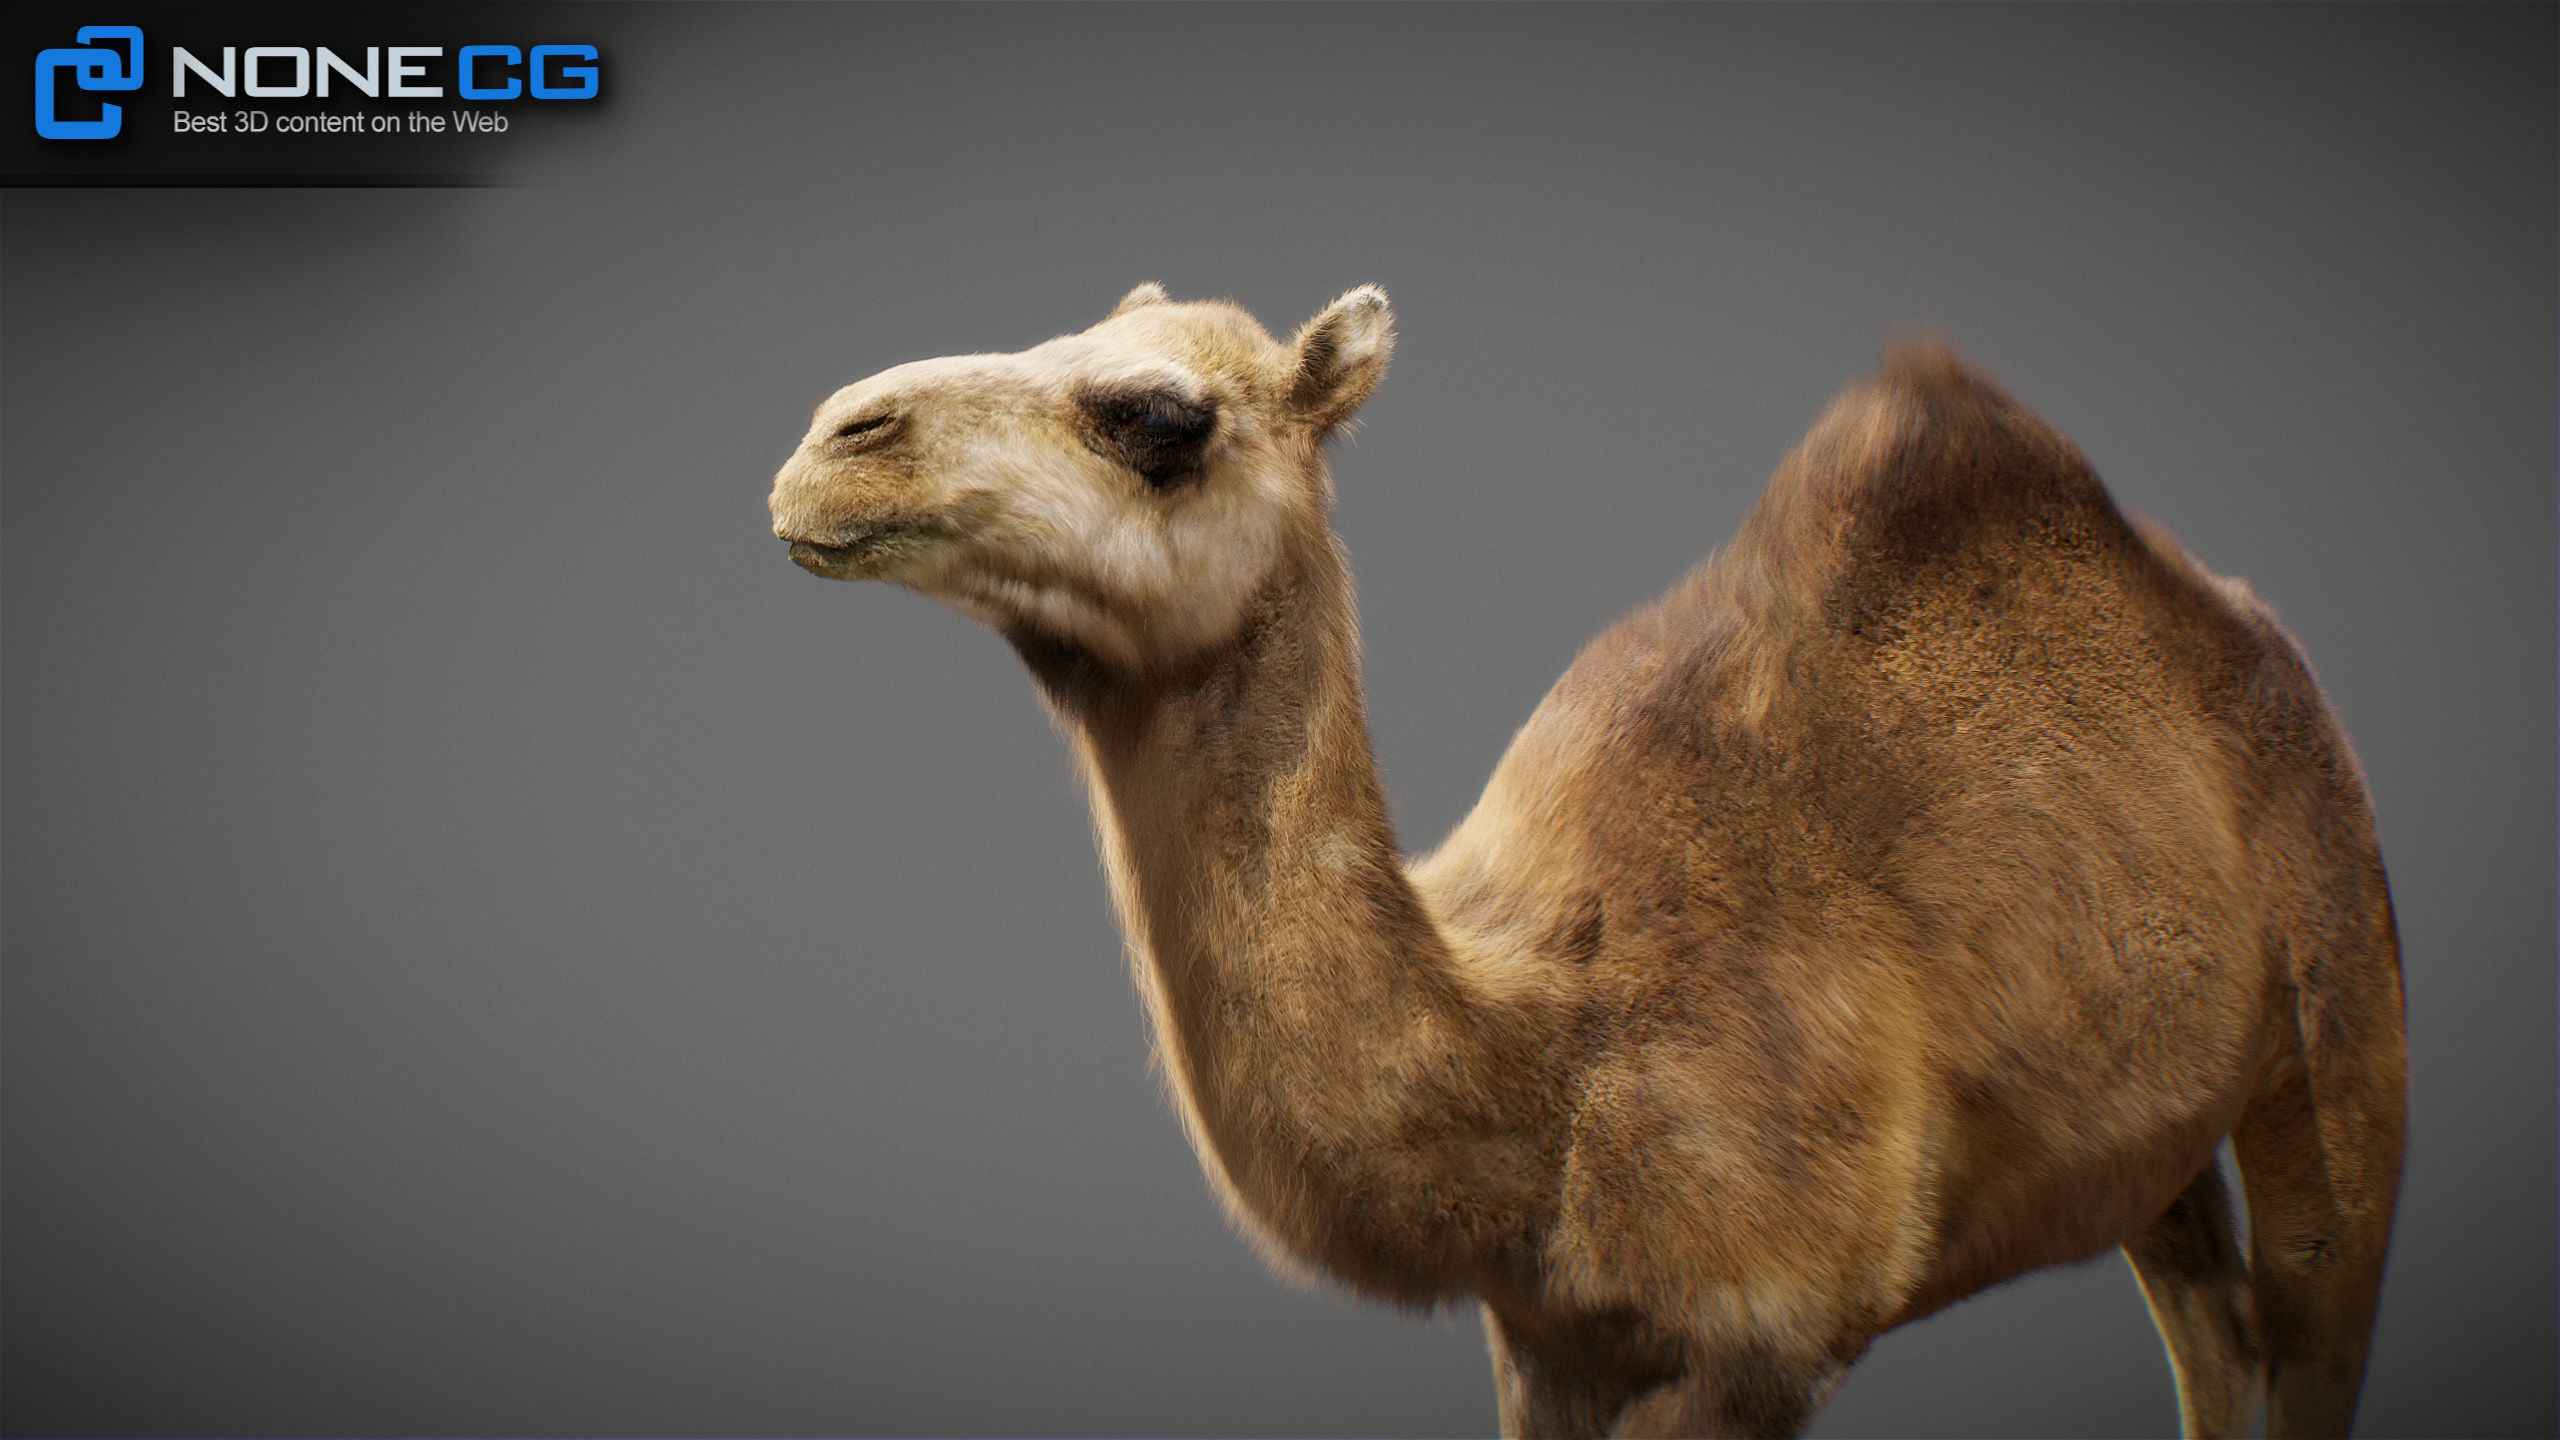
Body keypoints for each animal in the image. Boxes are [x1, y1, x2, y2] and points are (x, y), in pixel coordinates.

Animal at [766, 284, 2406, 1438]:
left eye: (1162, 420)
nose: (829, 443)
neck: (1539, 1065)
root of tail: (2243, 623)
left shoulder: (1764, 1344)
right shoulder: (1546, 1344)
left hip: (2338, 996)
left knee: (2314, 1301)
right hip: (2138, 1138)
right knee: (2212, 1333)